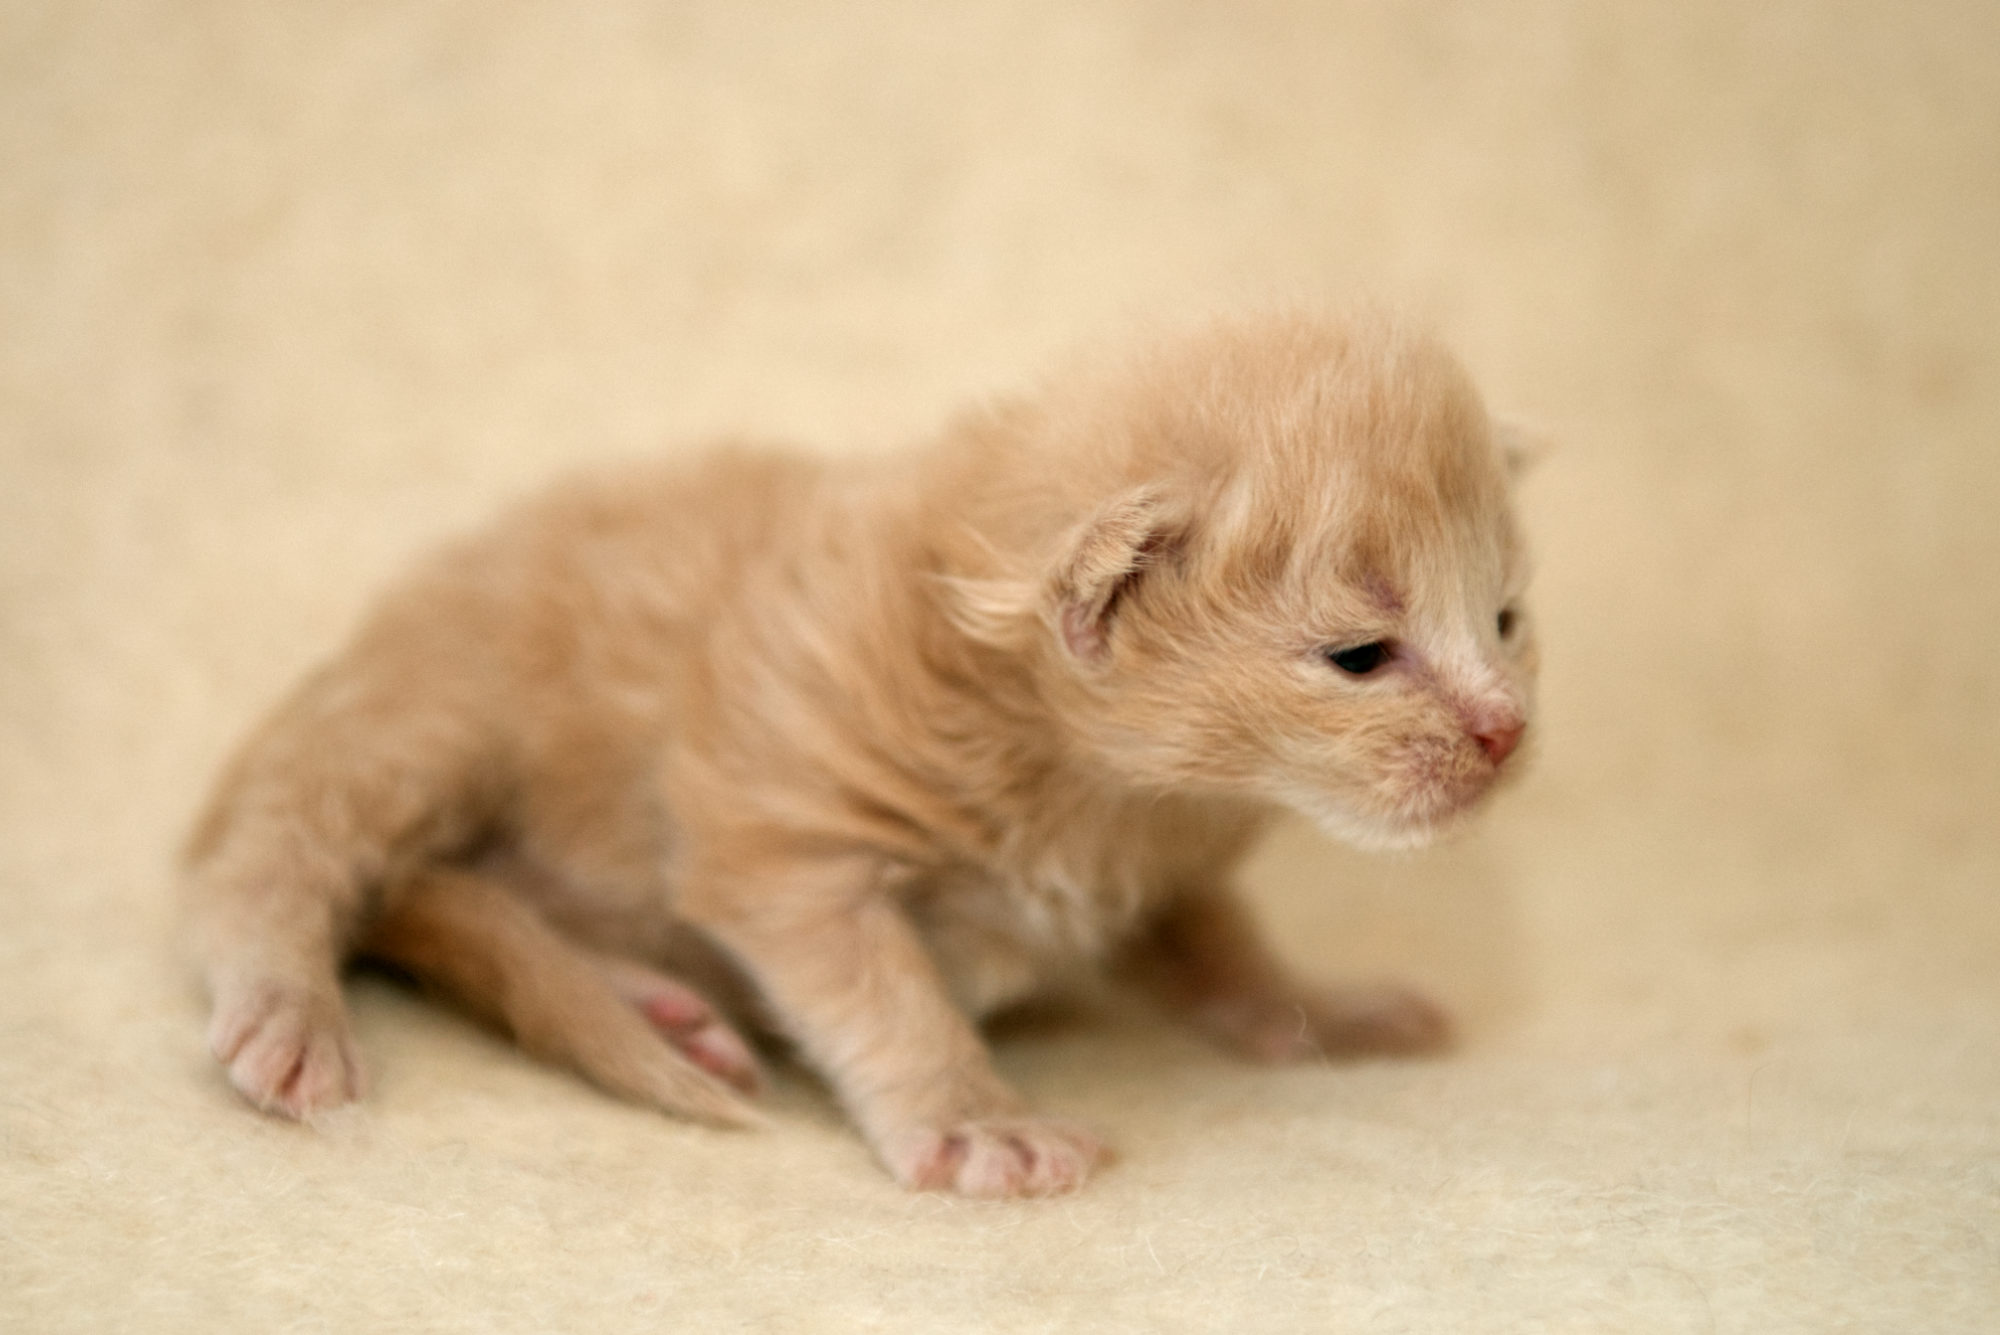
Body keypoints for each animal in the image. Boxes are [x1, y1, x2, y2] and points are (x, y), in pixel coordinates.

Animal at [181, 311, 1537, 1197]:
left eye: (1504, 619)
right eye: (1359, 655)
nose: (1505, 731)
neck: (1099, 783)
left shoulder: (1164, 863)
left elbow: (1222, 947)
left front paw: (1319, 1009)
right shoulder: (790, 836)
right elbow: (886, 994)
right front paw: (977, 1123)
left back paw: (651, 1007)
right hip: (435, 711)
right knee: (278, 850)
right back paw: (289, 1011)